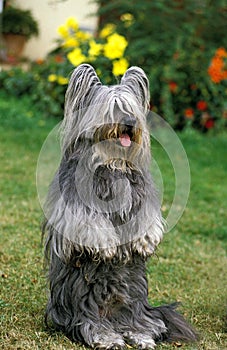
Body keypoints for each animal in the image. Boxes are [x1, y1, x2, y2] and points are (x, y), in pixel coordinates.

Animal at [42, 64, 197, 348]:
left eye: (131, 109)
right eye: (113, 109)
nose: (129, 123)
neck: (113, 162)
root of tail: (115, 319)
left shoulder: (141, 193)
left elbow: (145, 217)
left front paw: (145, 241)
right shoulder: (74, 202)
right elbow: (88, 219)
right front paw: (105, 246)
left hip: (135, 301)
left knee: (146, 325)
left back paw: (141, 337)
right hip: (83, 304)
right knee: (93, 325)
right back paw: (108, 339)